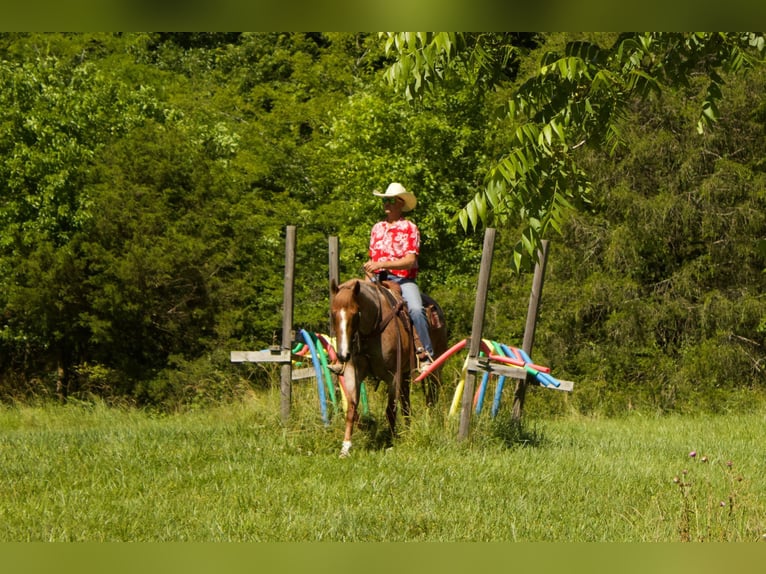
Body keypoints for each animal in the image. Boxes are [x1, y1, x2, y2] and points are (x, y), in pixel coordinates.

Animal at [329, 277, 447, 457]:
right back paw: (408, 430)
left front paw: (392, 442)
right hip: (405, 375)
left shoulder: (393, 375)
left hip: (434, 371)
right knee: (406, 405)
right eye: (333, 313)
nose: (343, 355)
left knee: (432, 399)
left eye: (355, 313)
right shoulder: (352, 373)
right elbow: (351, 409)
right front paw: (345, 448)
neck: (372, 330)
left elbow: (390, 411)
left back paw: (431, 423)